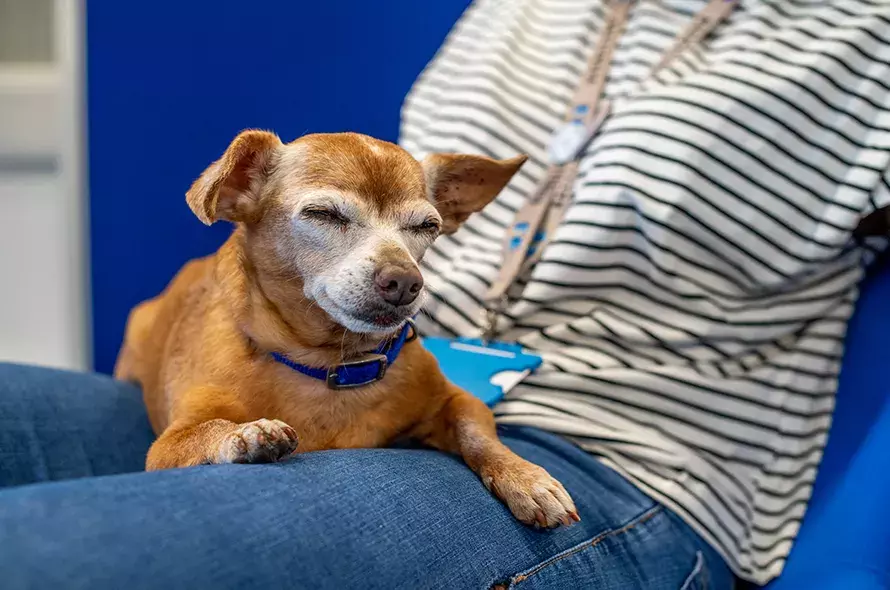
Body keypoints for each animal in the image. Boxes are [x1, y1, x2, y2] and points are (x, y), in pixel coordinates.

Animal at [114, 130, 579, 528]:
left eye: (427, 226)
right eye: (323, 214)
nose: (405, 281)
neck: (331, 365)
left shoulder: (457, 401)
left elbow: (477, 433)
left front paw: (525, 477)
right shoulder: (167, 447)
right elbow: (208, 430)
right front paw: (246, 435)